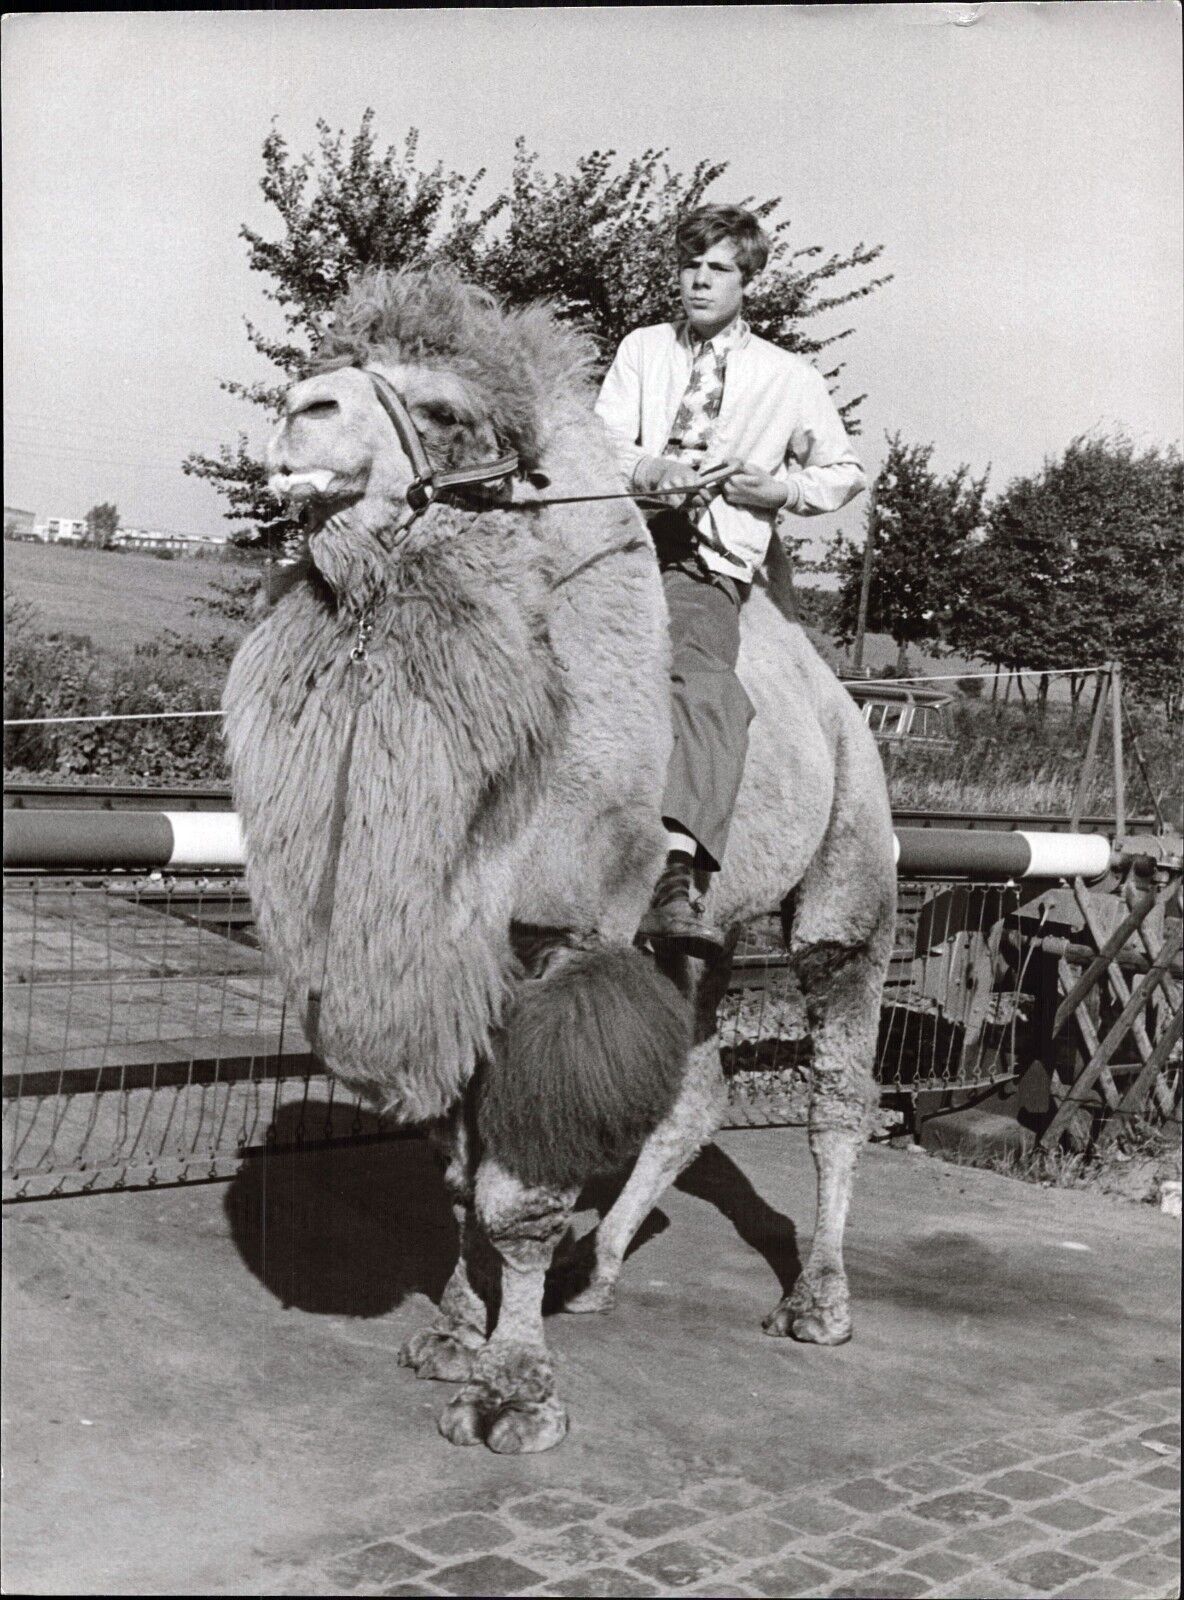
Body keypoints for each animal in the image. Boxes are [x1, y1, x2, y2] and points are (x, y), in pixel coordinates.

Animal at [222, 265, 889, 1452]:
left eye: (443, 411)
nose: (302, 410)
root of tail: (840, 699)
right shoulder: (460, 946)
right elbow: (458, 1171)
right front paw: (454, 1331)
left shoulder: (557, 938)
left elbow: (518, 1185)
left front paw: (514, 1391)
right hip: (688, 931)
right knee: (695, 1089)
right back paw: (598, 1274)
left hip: (846, 879)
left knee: (837, 1091)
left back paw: (817, 1303)